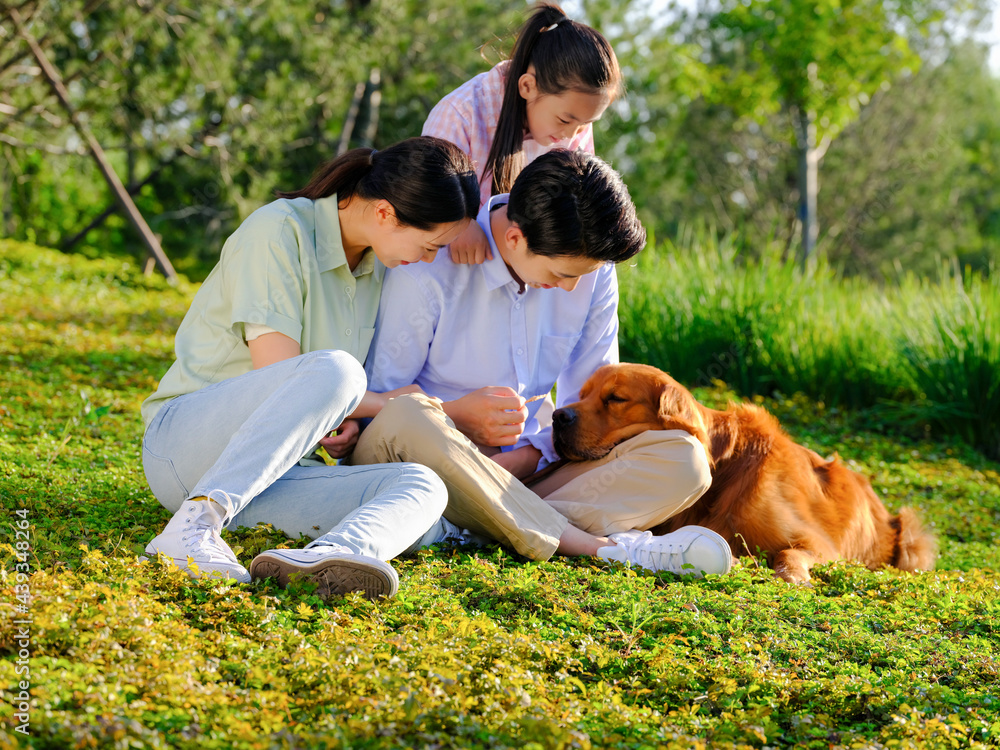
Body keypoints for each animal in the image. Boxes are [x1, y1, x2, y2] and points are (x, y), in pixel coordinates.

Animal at [552, 368, 932, 584]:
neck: (725, 471)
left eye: (615, 398)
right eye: (581, 394)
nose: (557, 416)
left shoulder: (820, 544)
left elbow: (788, 554)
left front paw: (794, 577)